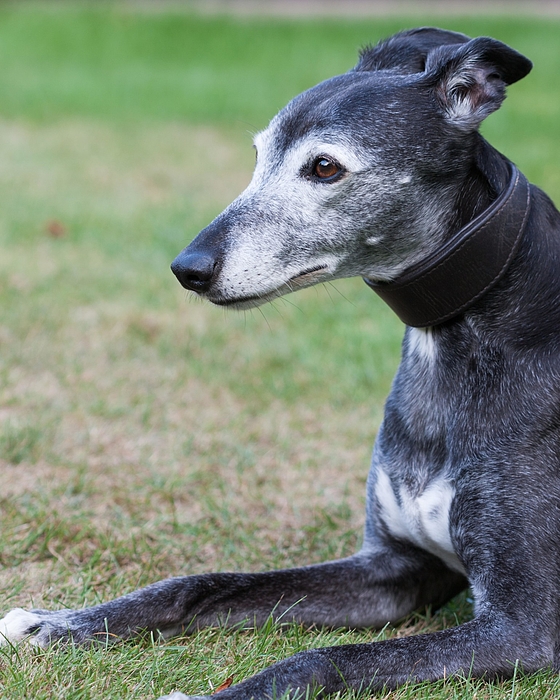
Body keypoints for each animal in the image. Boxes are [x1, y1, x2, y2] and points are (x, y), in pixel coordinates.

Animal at [1, 26, 560, 700]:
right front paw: (60, 622)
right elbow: (199, 583)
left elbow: (322, 658)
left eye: (324, 166)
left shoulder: (522, 627)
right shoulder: (393, 569)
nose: (188, 269)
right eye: (259, 153)